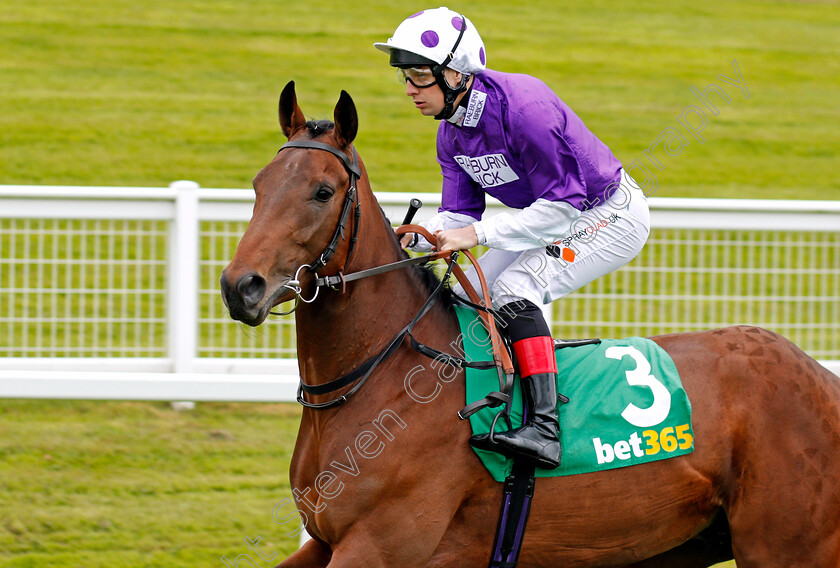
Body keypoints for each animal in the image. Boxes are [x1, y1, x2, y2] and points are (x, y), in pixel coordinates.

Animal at [220, 81, 840, 568]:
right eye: (257, 184)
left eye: (323, 191)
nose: (239, 286)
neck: (384, 373)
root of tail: (820, 378)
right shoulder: (326, 541)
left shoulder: (380, 546)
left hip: (787, 546)